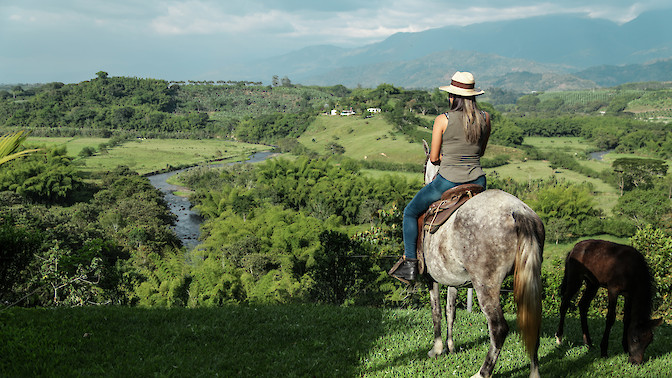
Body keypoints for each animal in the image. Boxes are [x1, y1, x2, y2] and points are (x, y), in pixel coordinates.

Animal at [422, 140, 544, 376]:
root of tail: (518, 211)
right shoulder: (453, 280)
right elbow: (451, 310)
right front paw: (450, 347)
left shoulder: (431, 279)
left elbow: (436, 311)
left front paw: (437, 349)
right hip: (529, 278)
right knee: (532, 321)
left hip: (486, 284)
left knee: (498, 328)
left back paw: (482, 372)